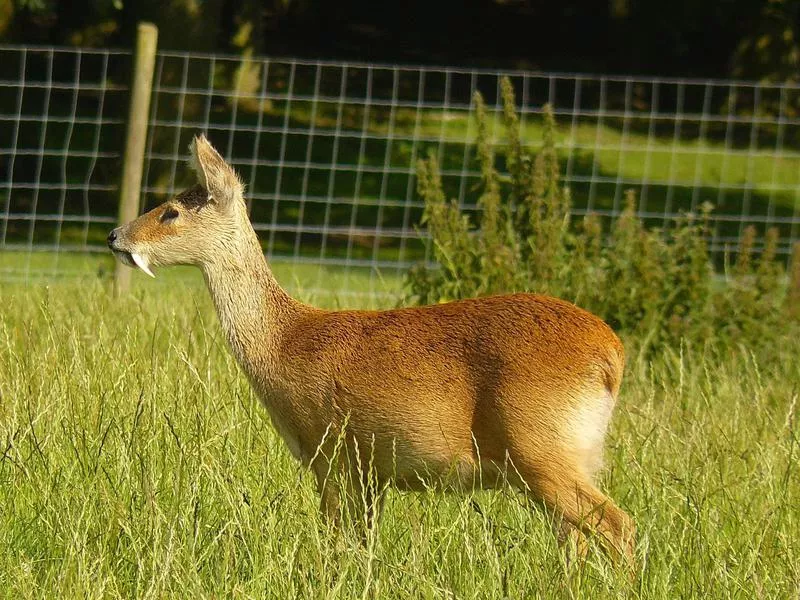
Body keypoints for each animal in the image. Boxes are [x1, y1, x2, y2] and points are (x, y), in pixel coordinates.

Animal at [106, 135, 636, 568]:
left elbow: (335, 540)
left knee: (619, 526)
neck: (283, 343)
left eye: (171, 211)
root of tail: (611, 354)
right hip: (565, 456)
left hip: (539, 446)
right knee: (577, 537)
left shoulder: (330, 451)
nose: (115, 236)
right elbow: (365, 544)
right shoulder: (369, 471)